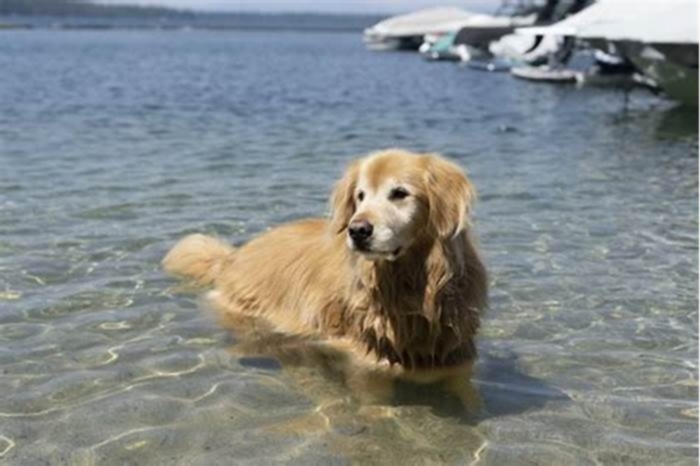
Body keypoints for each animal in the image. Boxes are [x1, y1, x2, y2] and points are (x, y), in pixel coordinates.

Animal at [163, 149, 486, 386]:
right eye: (360, 196)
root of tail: (234, 256)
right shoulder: (364, 358)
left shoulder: (457, 357)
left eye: (400, 193)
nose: (357, 230)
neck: (411, 285)